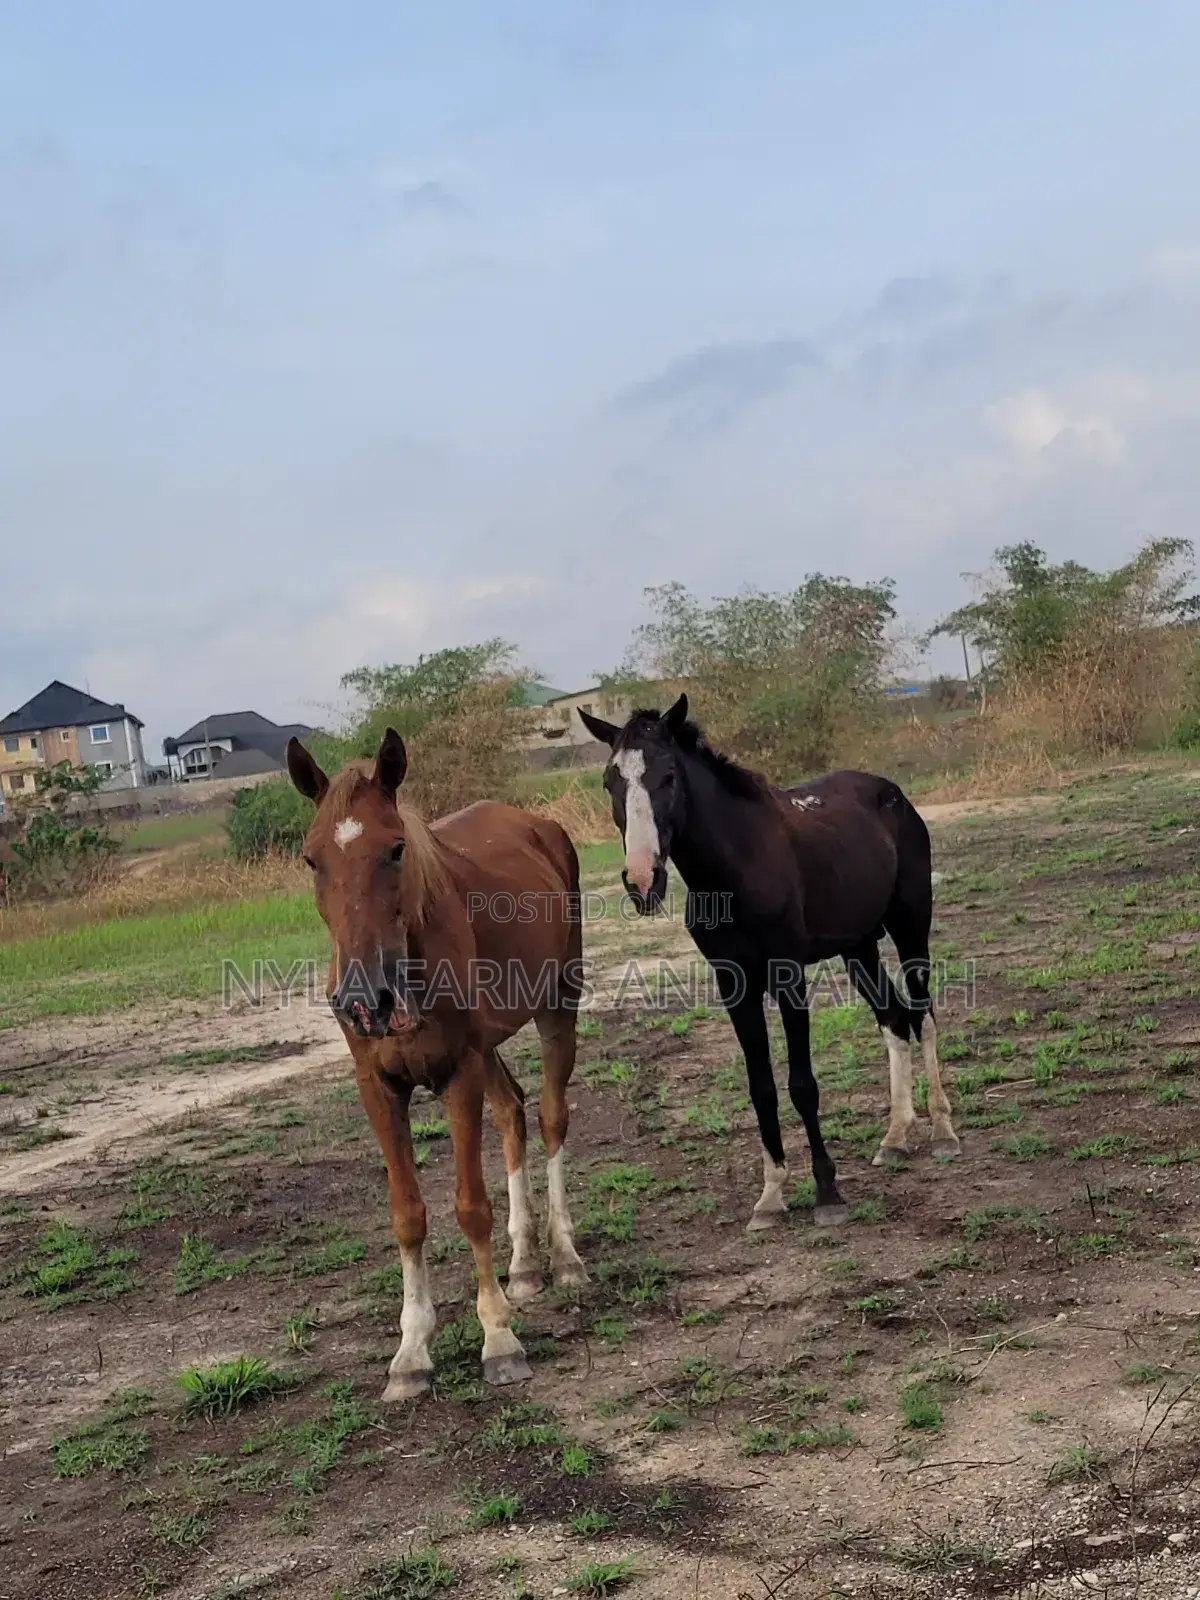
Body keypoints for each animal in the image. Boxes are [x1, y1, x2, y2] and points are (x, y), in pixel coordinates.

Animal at [286, 728, 588, 1402]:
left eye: (396, 848)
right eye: (312, 860)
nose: (362, 999)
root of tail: (539, 826)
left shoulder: (458, 1074)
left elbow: (470, 1207)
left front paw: (498, 1339)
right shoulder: (379, 1088)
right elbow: (408, 1216)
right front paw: (412, 1352)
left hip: (558, 1004)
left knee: (552, 1119)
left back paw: (562, 1255)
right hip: (491, 1045)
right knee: (512, 1112)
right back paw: (523, 1265)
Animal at [578, 694, 958, 1229]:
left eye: (668, 775)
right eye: (609, 781)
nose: (642, 880)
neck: (735, 867)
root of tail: (893, 793)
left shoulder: (786, 976)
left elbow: (802, 1083)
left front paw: (827, 1193)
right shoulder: (734, 983)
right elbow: (761, 1087)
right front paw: (771, 1195)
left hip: (909, 928)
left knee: (923, 1016)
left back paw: (943, 1130)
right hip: (858, 946)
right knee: (894, 1019)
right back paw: (896, 1137)